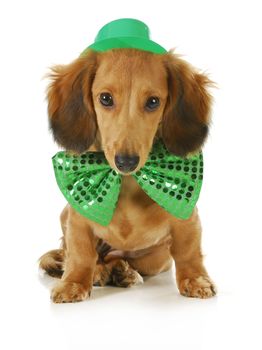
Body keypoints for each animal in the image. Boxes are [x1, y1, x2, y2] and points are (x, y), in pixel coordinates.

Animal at [38, 47, 215, 302]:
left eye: (153, 102)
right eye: (105, 98)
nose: (126, 162)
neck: (126, 182)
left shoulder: (186, 214)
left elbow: (188, 251)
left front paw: (195, 279)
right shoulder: (77, 218)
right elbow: (81, 253)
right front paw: (73, 283)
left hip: (157, 258)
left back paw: (121, 271)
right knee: (89, 256)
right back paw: (103, 272)